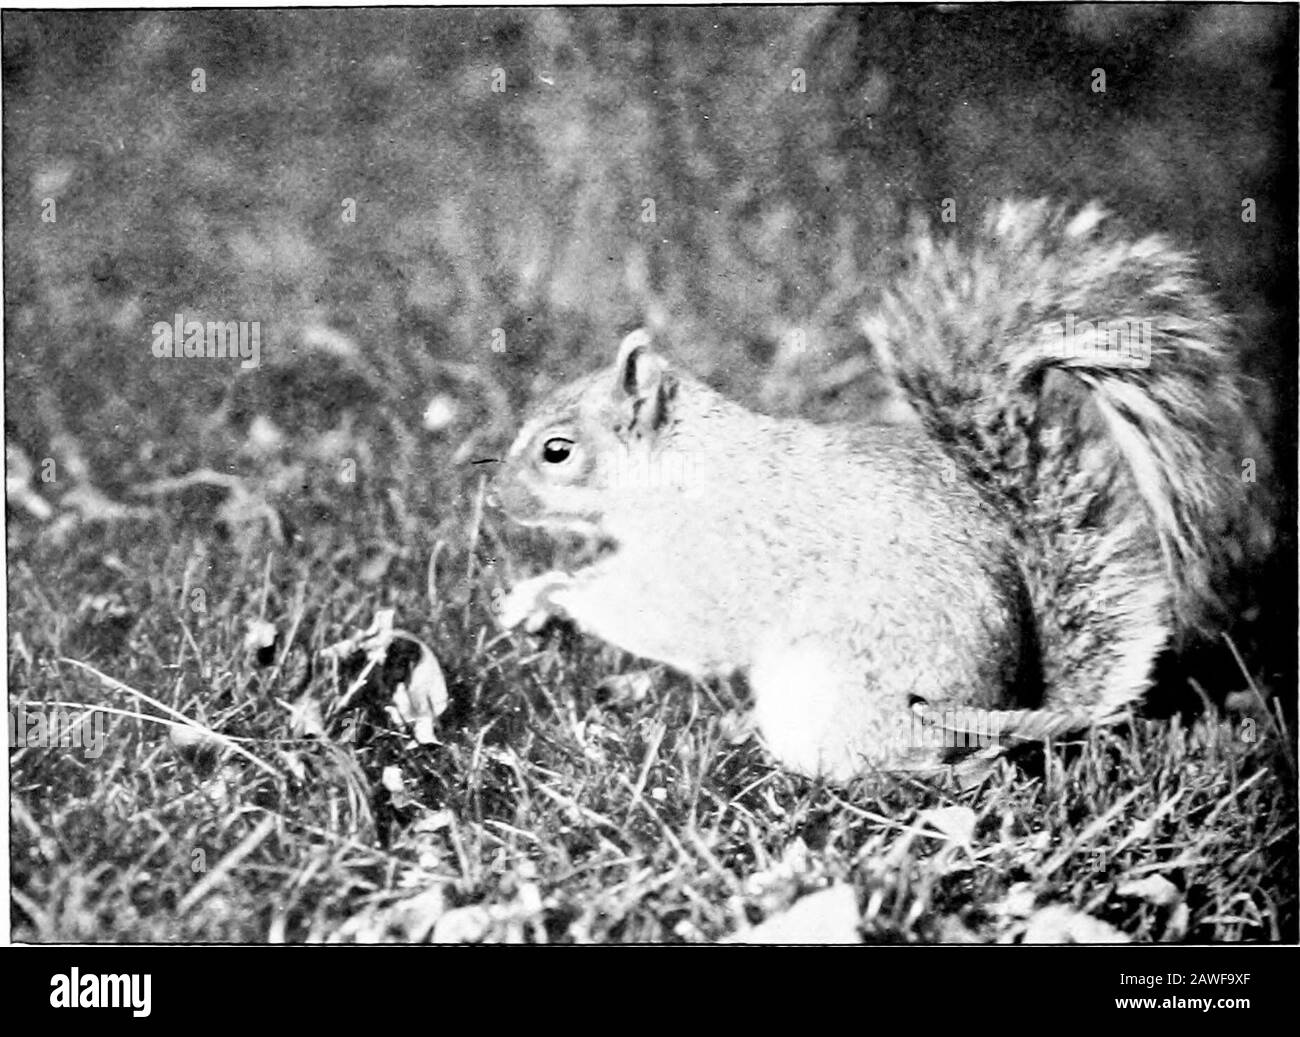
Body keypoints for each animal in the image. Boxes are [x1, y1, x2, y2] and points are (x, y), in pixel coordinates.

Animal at [491, 201, 1253, 779]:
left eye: (557, 451)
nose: (497, 500)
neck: (686, 469)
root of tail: (1003, 717)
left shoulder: (712, 560)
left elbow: (665, 618)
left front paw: (552, 593)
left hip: (826, 694)